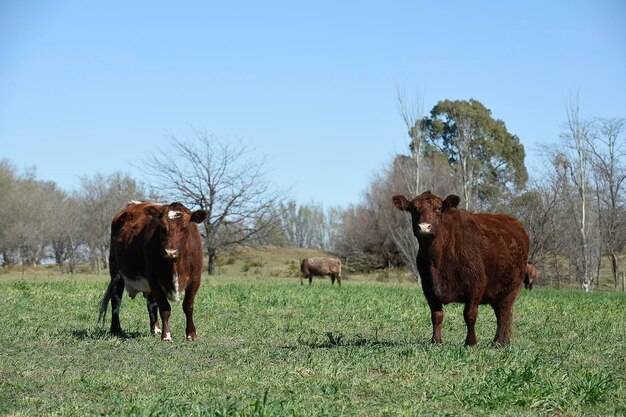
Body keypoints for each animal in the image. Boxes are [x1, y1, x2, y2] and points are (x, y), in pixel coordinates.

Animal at [96, 200, 206, 340]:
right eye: (162, 228)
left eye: (184, 228)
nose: (170, 252)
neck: (175, 266)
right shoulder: (154, 279)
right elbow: (165, 308)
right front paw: (166, 335)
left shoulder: (195, 279)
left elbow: (188, 306)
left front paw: (191, 334)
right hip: (116, 273)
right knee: (116, 300)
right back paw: (115, 329)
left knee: (151, 303)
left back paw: (155, 329)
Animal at [392, 190, 528, 346]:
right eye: (413, 209)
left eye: (438, 209)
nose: (424, 227)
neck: (437, 262)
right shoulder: (428, 288)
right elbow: (436, 315)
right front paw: (436, 341)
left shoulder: (476, 285)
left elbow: (470, 315)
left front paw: (470, 342)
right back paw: (504, 342)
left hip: (512, 288)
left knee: (503, 313)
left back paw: (497, 343)